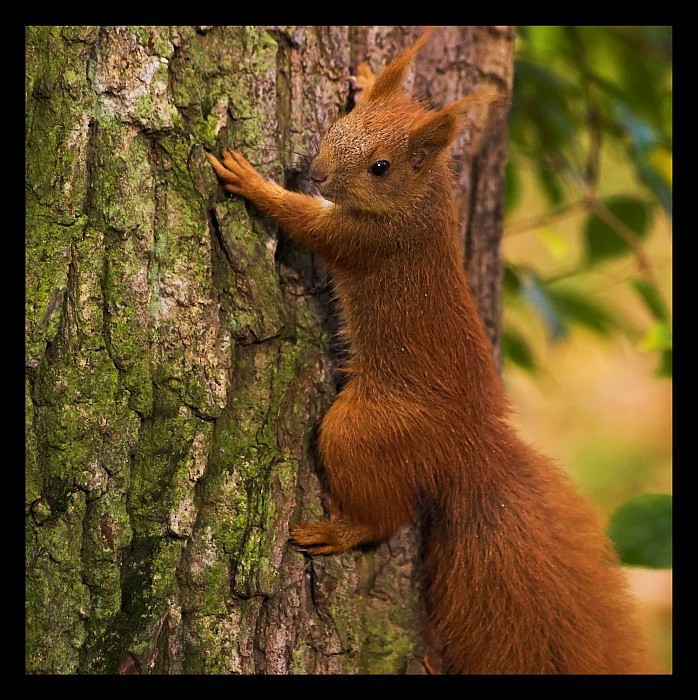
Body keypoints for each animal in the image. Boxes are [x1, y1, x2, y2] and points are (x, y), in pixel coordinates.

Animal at [205, 27, 648, 672]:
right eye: (345, 124)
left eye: (381, 167)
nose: (317, 172)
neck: (424, 198)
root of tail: (468, 448)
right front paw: (369, 76)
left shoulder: (367, 239)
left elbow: (307, 224)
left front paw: (251, 182)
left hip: (366, 427)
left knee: (384, 517)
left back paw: (337, 532)